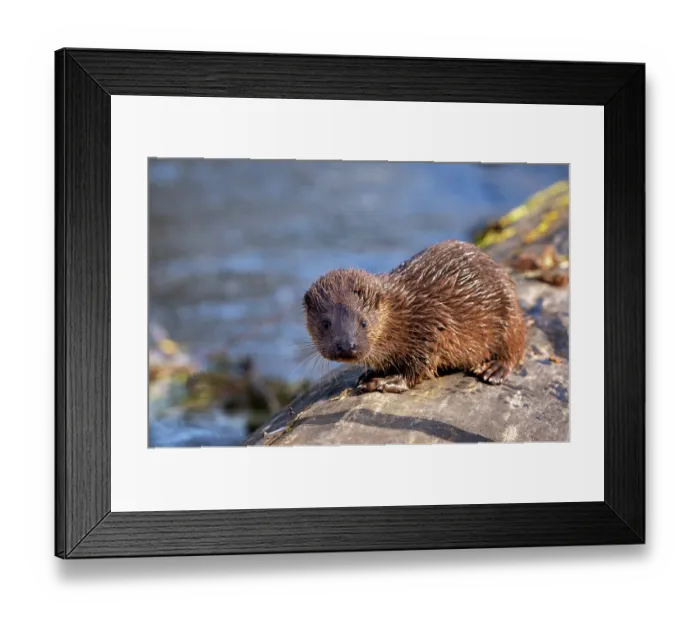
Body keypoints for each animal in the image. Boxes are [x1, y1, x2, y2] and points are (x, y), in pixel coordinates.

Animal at [303, 240, 527, 393]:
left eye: (363, 322)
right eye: (325, 324)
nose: (346, 346)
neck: (402, 315)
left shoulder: (431, 324)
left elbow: (419, 366)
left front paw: (386, 381)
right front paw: (370, 373)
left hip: (508, 311)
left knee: (515, 347)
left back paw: (495, 369)